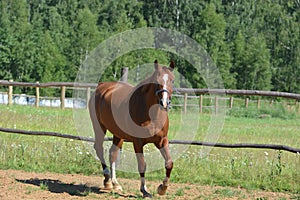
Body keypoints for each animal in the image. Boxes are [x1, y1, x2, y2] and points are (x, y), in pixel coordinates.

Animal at [88, 60, 175, 198]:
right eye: (157, 81)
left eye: (172, 80)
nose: (164, 103)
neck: (151, 114)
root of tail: (101, 86)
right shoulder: (137, 142)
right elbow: (142, 165)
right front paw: (144, 190)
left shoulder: (162, 140)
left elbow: (169, 163)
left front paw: (162, 188)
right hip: (99, 127)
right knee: (99, 148)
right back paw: (107, 181)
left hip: (118, 134)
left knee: (112, 153)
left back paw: (116, 184)